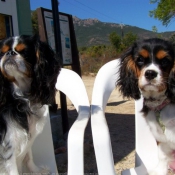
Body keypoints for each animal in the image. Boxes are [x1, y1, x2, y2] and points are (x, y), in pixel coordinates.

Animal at [0, 34, 60, 174]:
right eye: (2, 52)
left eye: (24, 51)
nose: (9, 53)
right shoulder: (8, 145)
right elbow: (12, 169)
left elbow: (28, 156)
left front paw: (36, 171)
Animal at [117, 37, 175, 174]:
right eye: (140, 59)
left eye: (165, 61)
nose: (150, 73)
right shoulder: (161, 137)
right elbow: (162, 155)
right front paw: (159, 171)